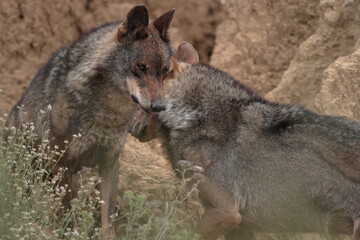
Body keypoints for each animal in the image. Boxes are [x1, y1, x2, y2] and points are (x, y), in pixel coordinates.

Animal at [4, 5, 175, 238]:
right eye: (141, 66)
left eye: (164, 71)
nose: (158, 107)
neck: (108, 113)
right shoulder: (61, 163)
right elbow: (67, 220)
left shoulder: (110, 161)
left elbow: (107, 220)